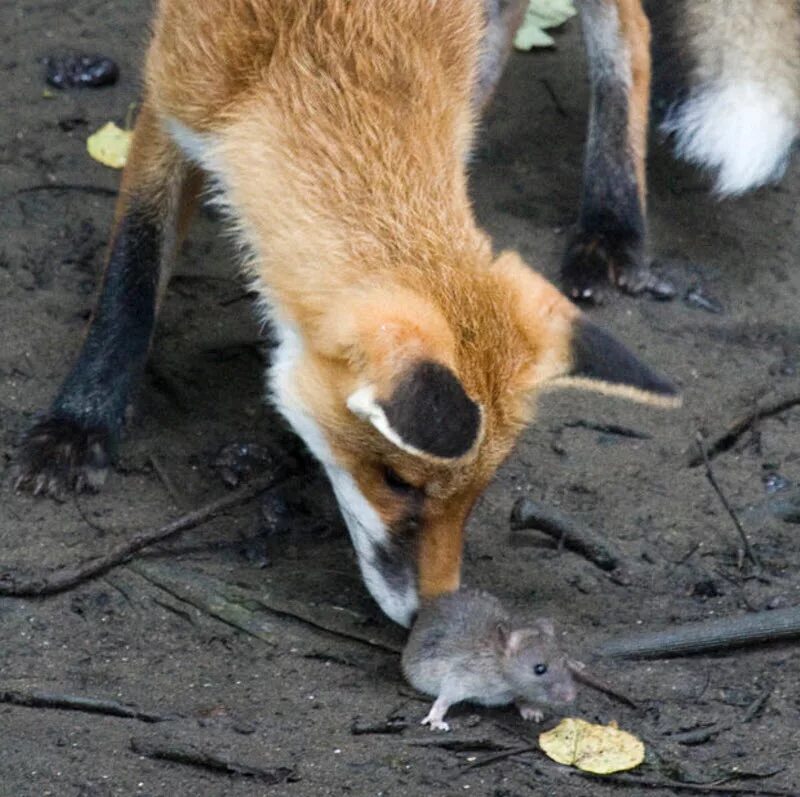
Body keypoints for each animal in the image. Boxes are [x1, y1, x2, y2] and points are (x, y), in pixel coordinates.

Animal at [12, 0, 680, 624]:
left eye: (480, 492)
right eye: (397, 481)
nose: (433, 617)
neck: (323, 44)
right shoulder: (174, 95)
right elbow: (131, 271)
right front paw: (79, 425)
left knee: (630, 28)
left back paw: (613, 221)